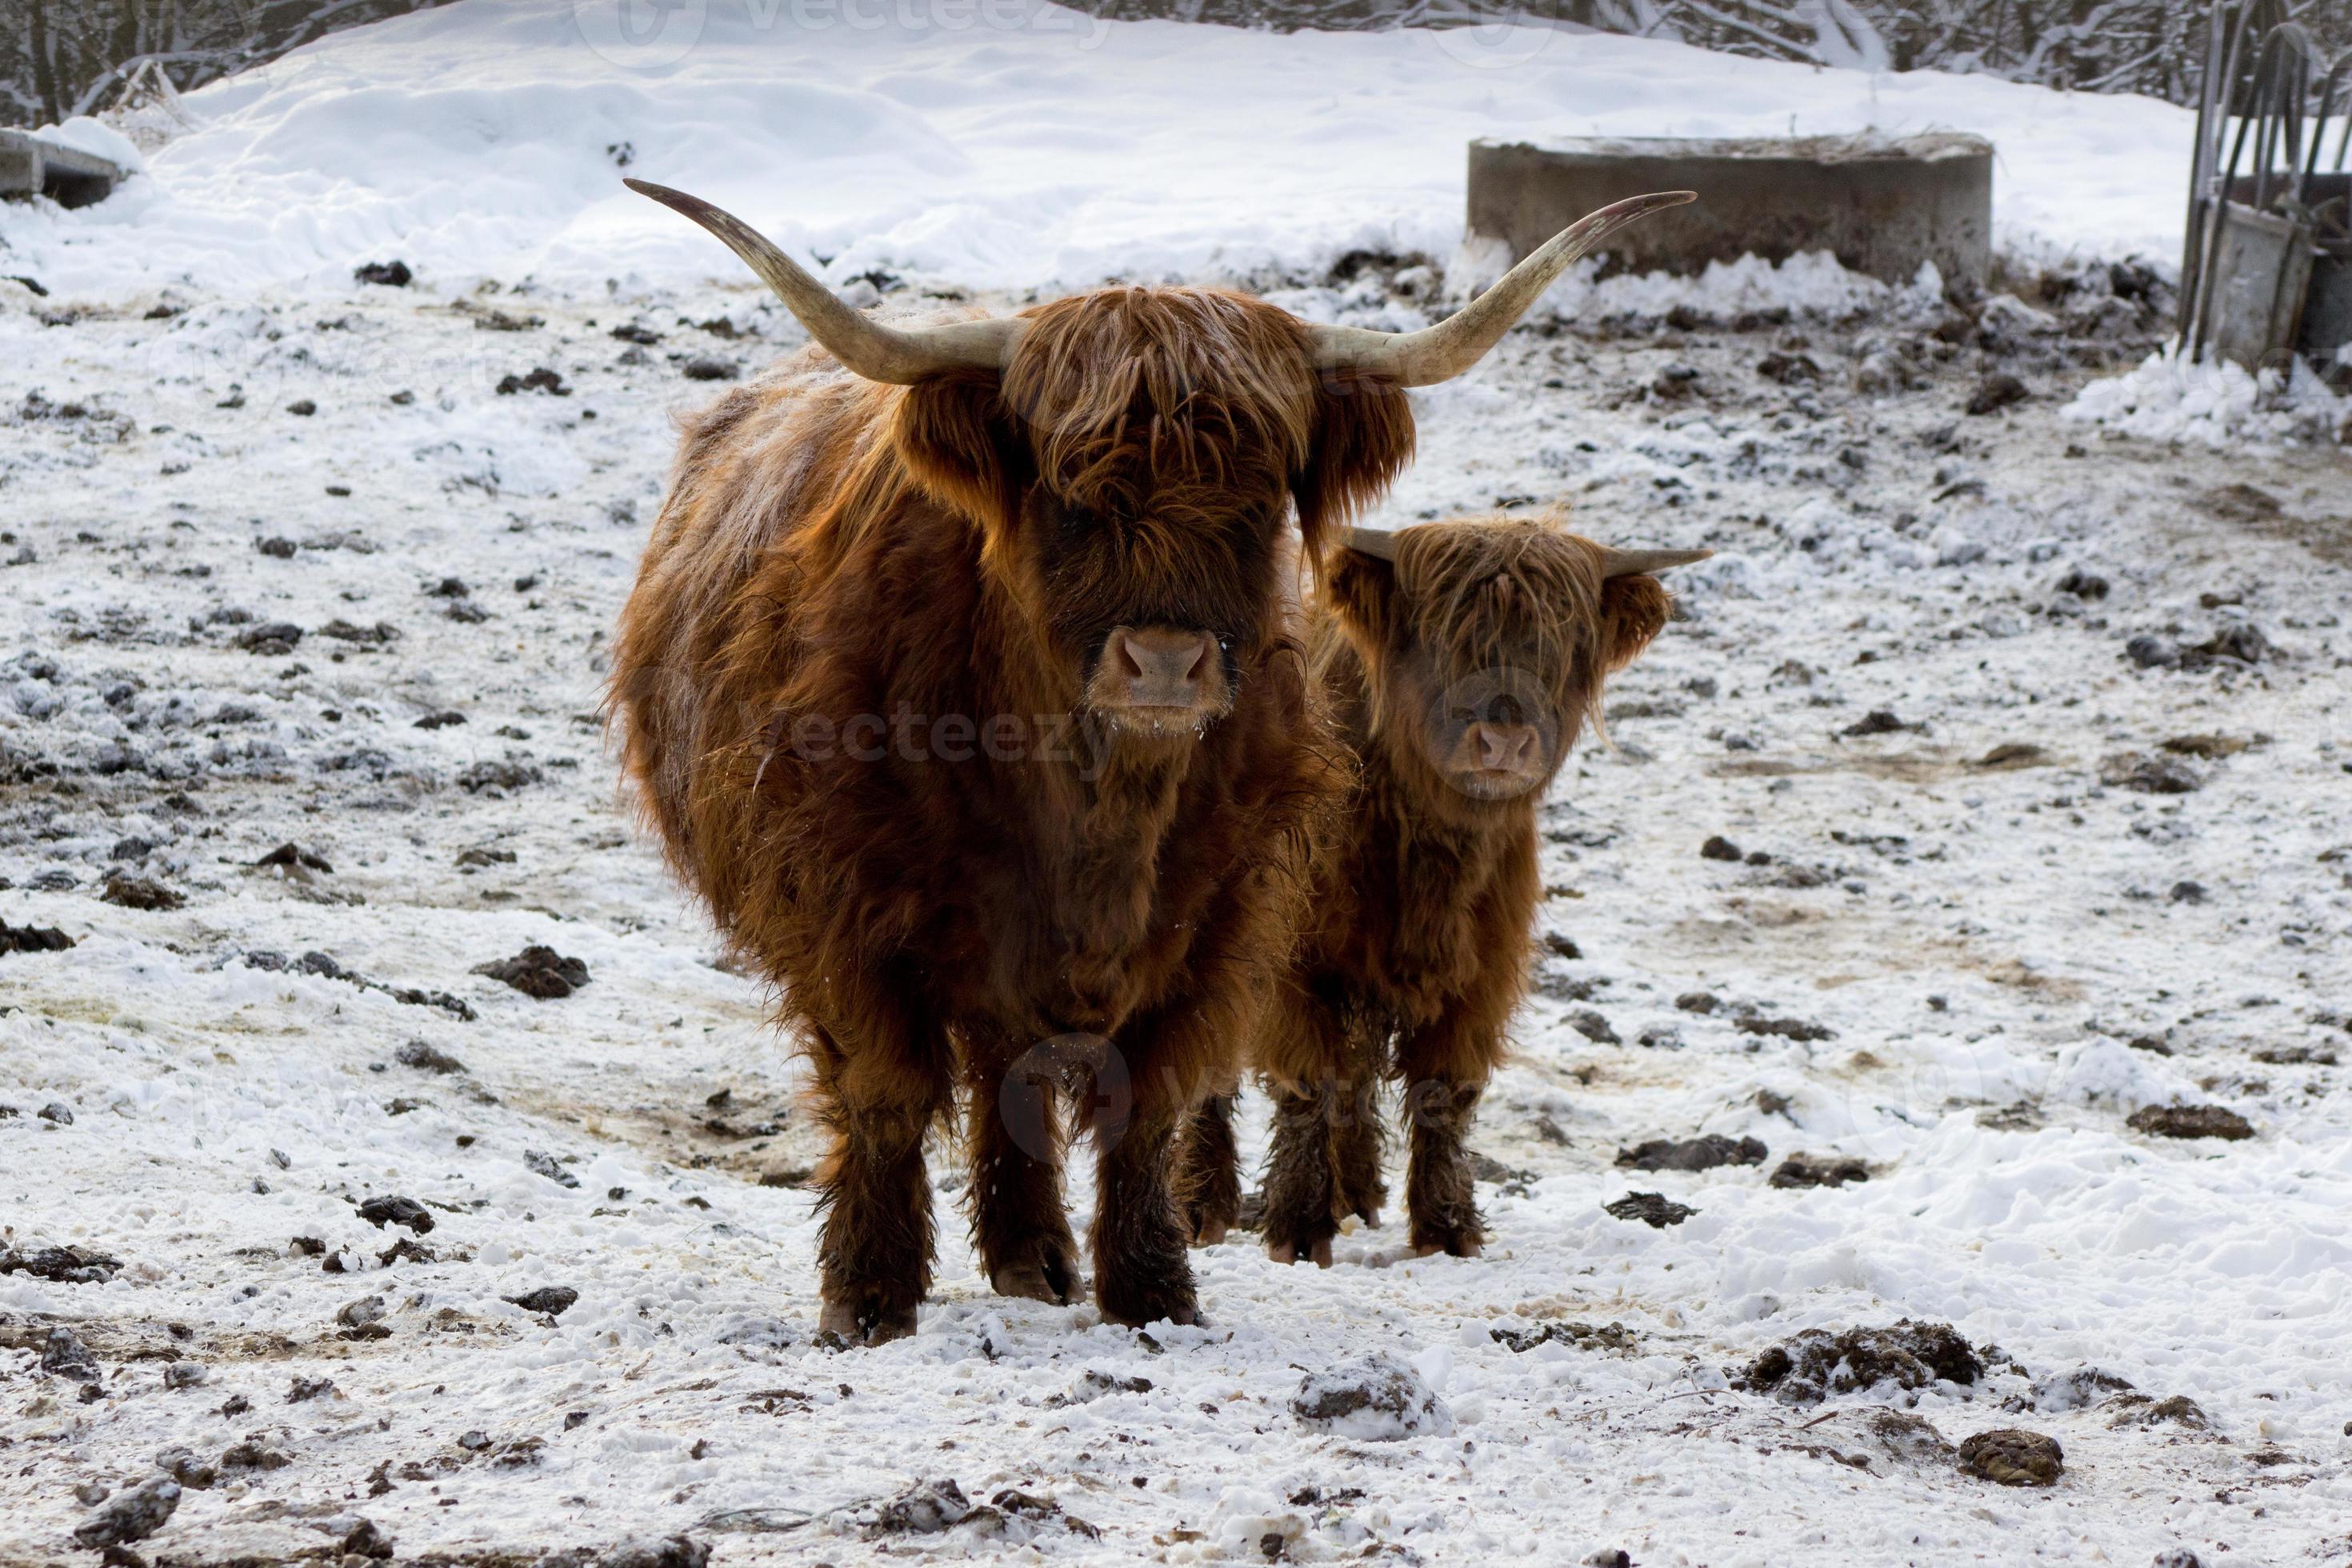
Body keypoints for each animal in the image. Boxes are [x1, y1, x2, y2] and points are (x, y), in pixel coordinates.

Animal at [1176, 516, 1706, 1265]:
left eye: (1564, 640)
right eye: (1442, 636)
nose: (1503, 741)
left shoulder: (1483, 966)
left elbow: (1444, 1094)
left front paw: (1448, 1228)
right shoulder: (1296, 964)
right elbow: (1307, 1081)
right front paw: (1297, 1228)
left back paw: (1358, 1195)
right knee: (1211, 1073)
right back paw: (1203, 1205)